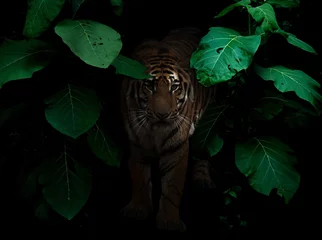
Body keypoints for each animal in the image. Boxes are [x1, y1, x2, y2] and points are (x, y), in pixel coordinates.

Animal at [120, 27, 216, 232]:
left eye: (175, 86)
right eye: (149, 85)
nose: (162, 114)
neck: (154, 131)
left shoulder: (177, 149)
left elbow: (172, 188)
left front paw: (169, 222)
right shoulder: (137, 145)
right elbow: (139, 179)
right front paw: (138, 210)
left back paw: (202, 181)